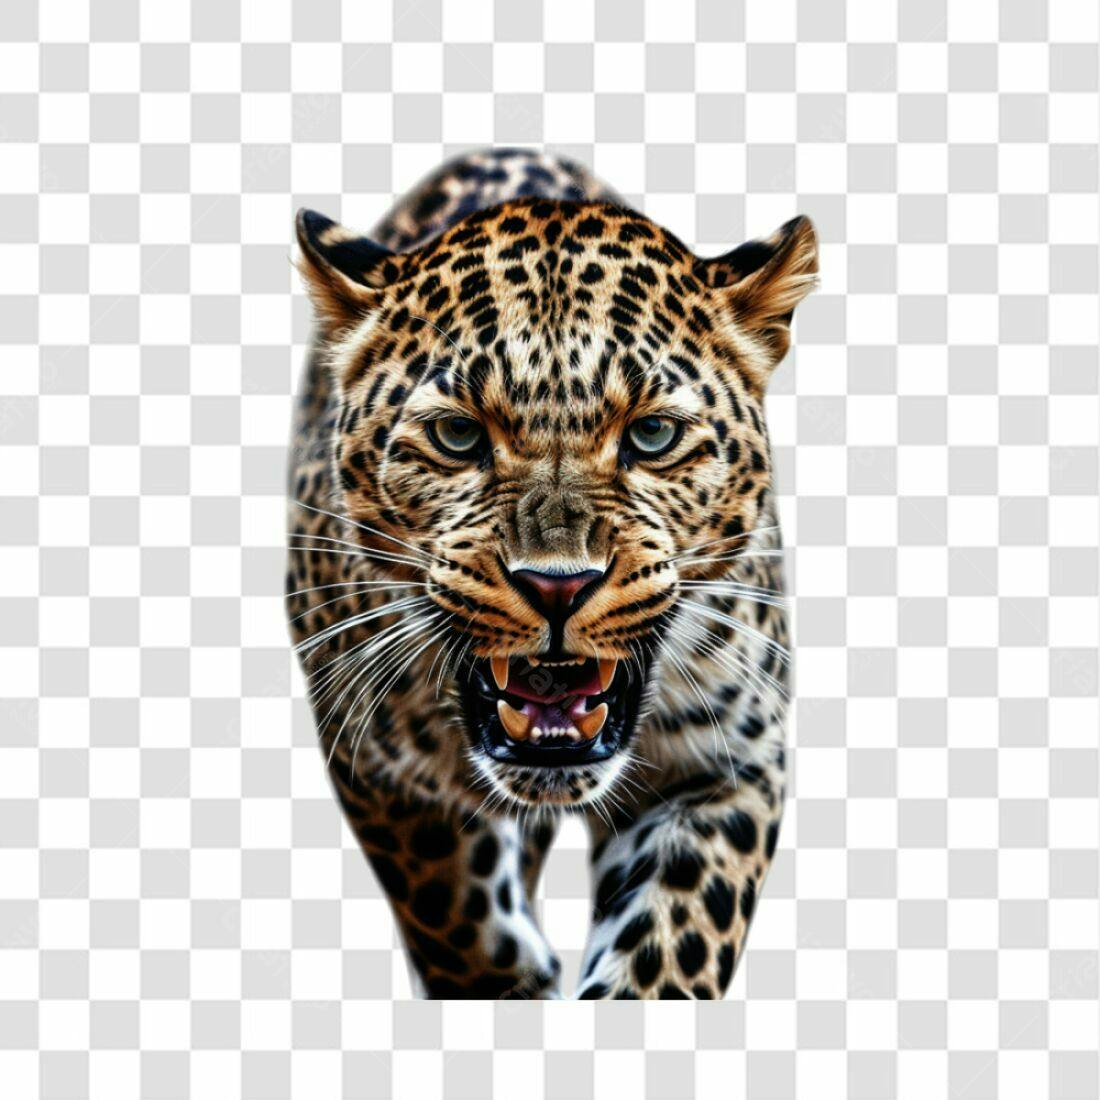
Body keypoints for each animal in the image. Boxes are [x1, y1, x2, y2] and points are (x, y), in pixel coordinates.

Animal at [286, 148, 817, 999]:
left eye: (653, 435)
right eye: (458, 435)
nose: (557, 585)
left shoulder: (727, 764)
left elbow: (671, 947)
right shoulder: (380, 768)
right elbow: (457, 918)